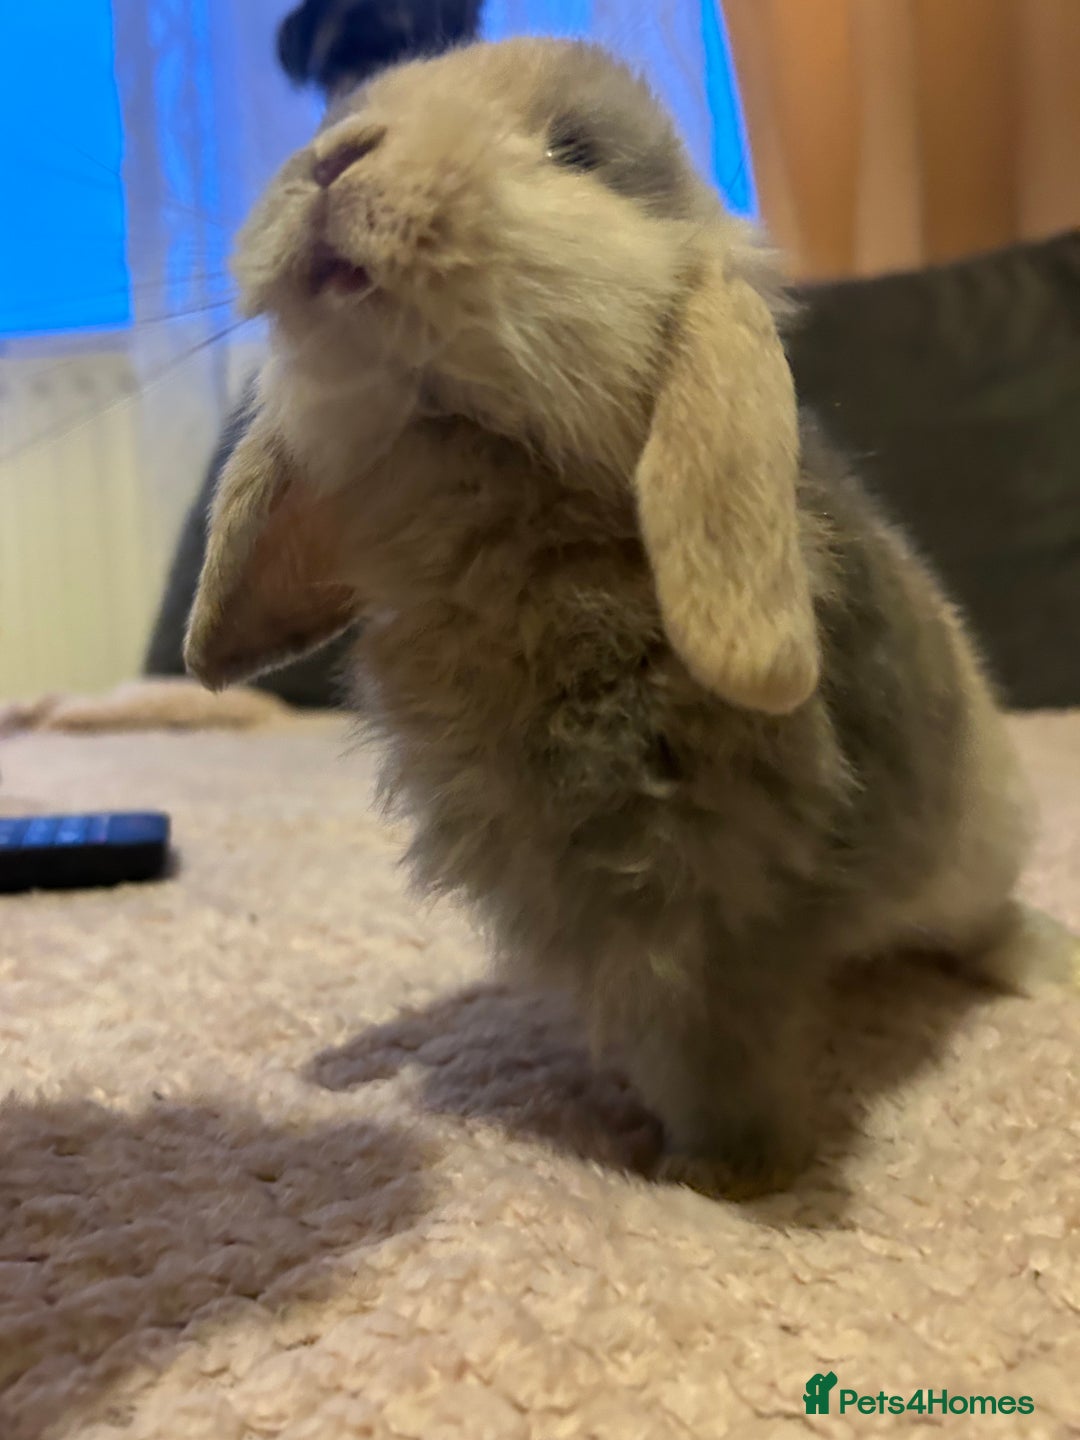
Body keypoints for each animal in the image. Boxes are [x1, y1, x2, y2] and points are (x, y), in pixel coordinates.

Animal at [184, 38, 1079, 1198]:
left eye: (577, 152)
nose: (334, 157)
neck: (487, 473)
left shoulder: (711, 904)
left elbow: (717, 1047)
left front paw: (719, 1179)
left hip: (979, 846)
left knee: (980, 920)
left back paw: (1044, 964)